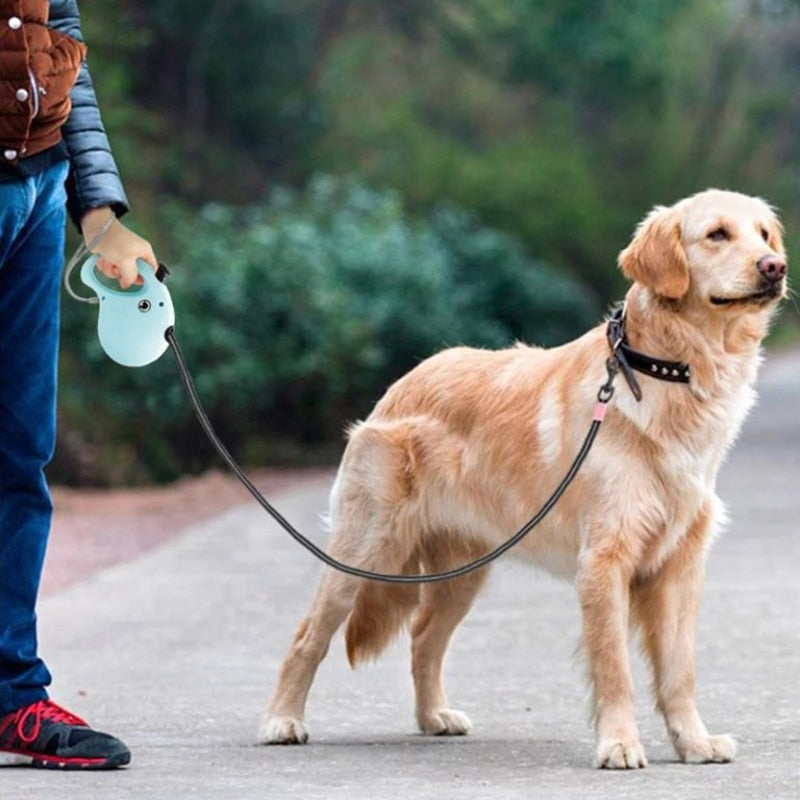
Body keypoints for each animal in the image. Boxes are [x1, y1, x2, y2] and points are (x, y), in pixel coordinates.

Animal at [258, 189, 788, 768]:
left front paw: (694, 742)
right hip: (367, 550)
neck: (666, 369)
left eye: (763, 234)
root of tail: (403, 382)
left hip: (462, 570)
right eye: (717, 234)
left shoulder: (678, 565)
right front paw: (619, 744)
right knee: (309, 635)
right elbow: (615, 667)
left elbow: (679, 669)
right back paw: (282, 720)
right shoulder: (604, 559)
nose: (775, 267)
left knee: (424, 636)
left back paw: (433, 716)